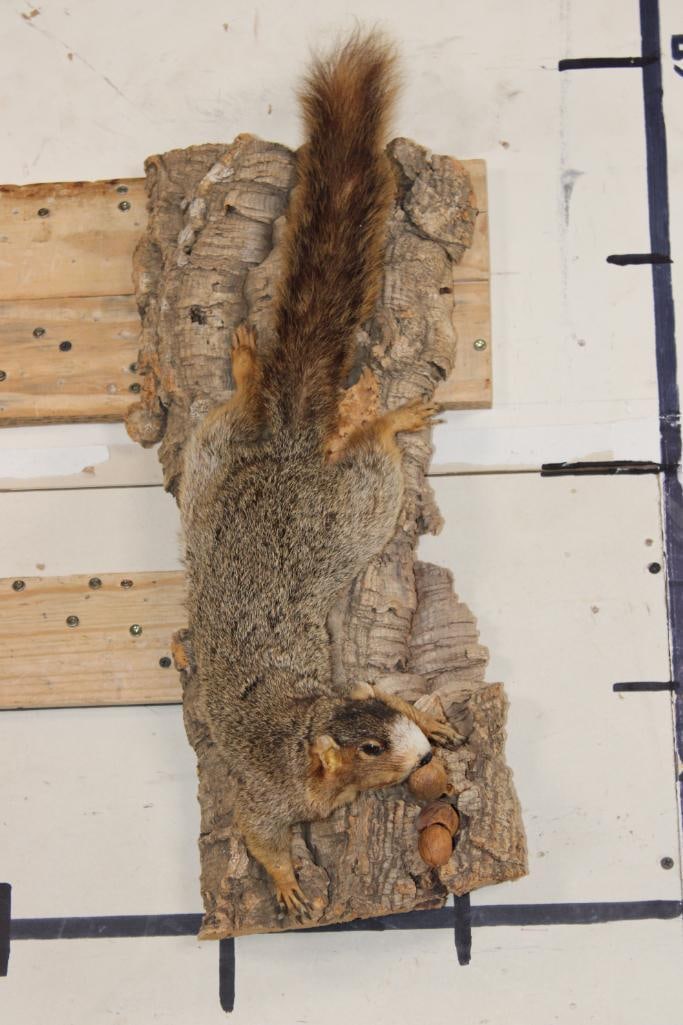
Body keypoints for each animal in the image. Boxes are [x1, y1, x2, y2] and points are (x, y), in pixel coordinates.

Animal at [179, 31, 456, 918]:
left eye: (384, 720)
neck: (304, 726)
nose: (419, 749)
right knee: (298, 426)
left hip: (337, 496)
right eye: (369, 746)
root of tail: (291, 440)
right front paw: (289, 887)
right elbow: (262, 838)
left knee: (356, 435)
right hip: (242, 469)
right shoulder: (267, 795)